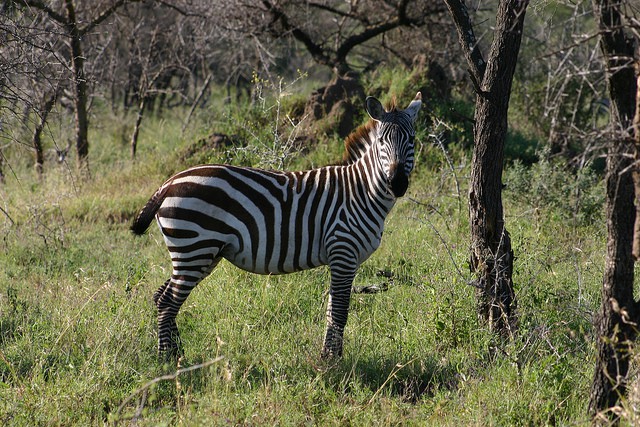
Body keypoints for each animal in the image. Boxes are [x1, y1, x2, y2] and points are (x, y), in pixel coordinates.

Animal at [131, 92, 422, 360]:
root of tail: (169, 182)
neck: (361, 192)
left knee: (162, 296)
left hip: (202, 253)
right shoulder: (343, 252)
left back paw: (178, 354)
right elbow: (340, 310)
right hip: (193, 247)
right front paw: (332, 362)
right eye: (382, 141)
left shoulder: (343, 258)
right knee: (168, 301)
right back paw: (167, 360)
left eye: (411, 140)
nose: (397, 183)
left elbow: (332, 309)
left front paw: (330, 356)